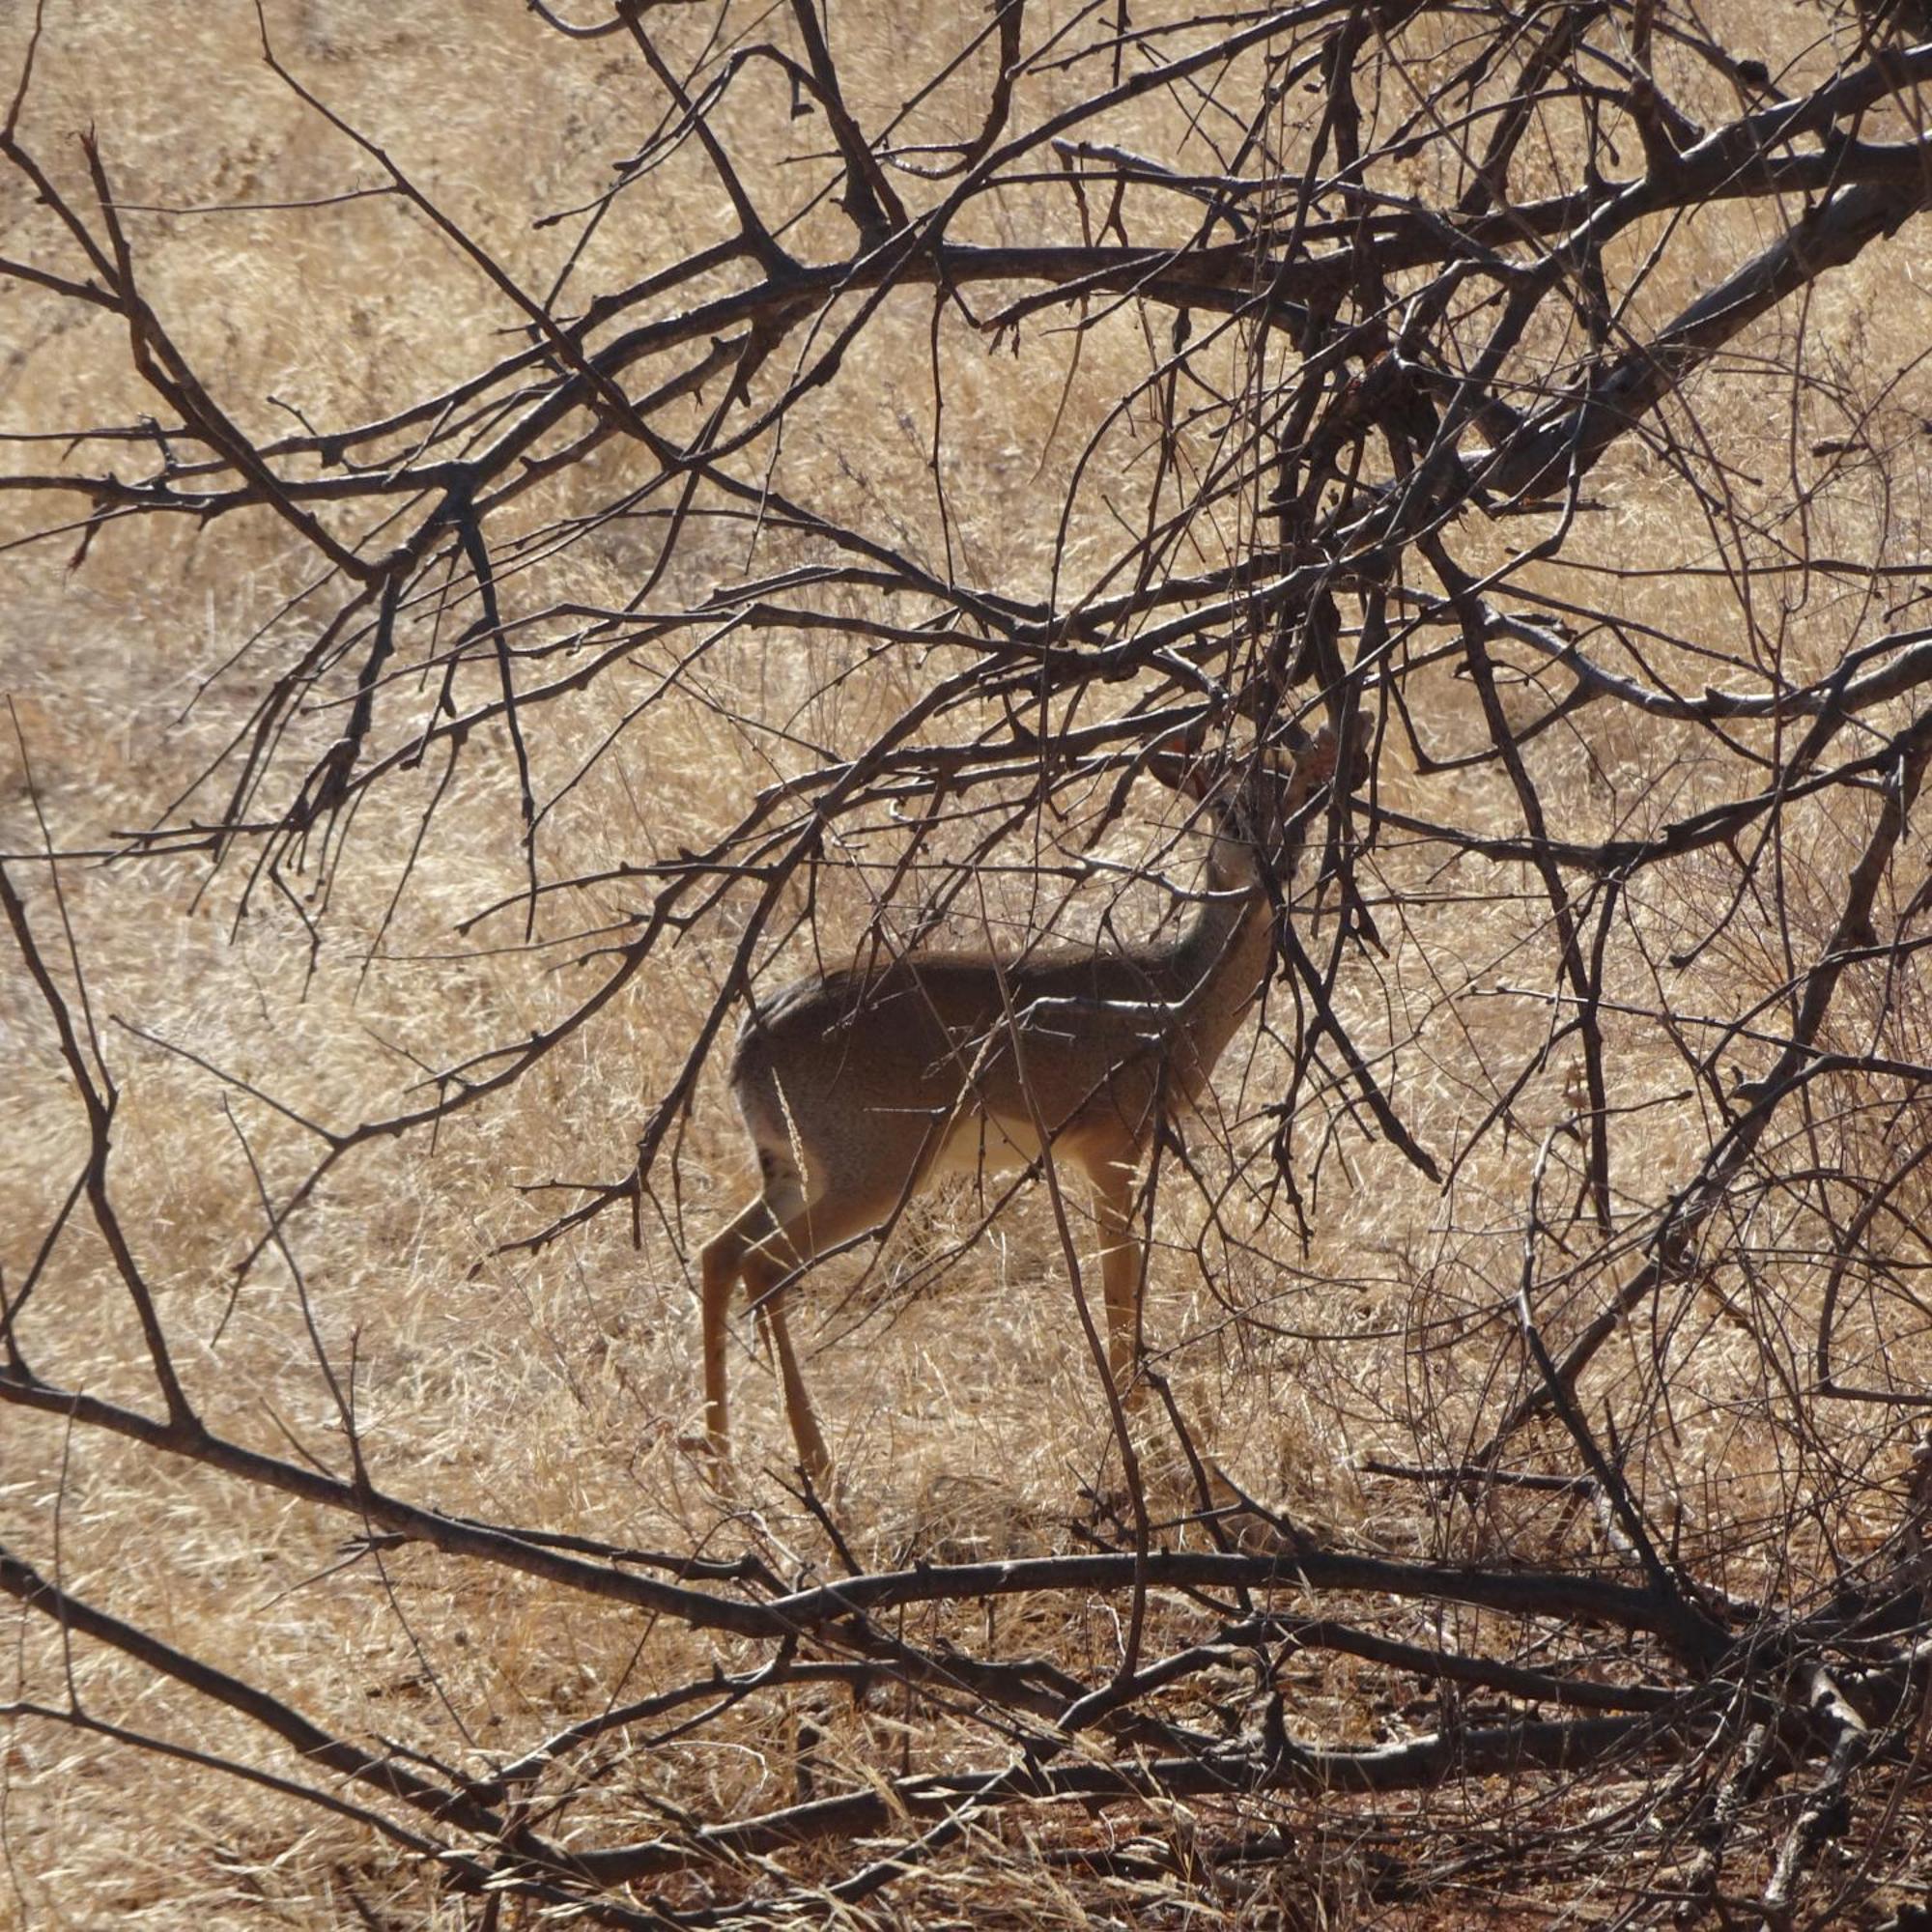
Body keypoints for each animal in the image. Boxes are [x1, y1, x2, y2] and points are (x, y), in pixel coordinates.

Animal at [696, 726, 1345, 1476]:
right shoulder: (1113, 1147)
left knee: (718, 1252)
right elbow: (1119, 1286)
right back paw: (817, 1463)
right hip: (873, 1173)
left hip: (794, 1170)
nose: (1279, 866)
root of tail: (749, 1043)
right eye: (1225, 807)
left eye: (1301, 801)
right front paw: (1143, 1437)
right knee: (763, 1265)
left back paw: (720, 1464)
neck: (1173, 991)